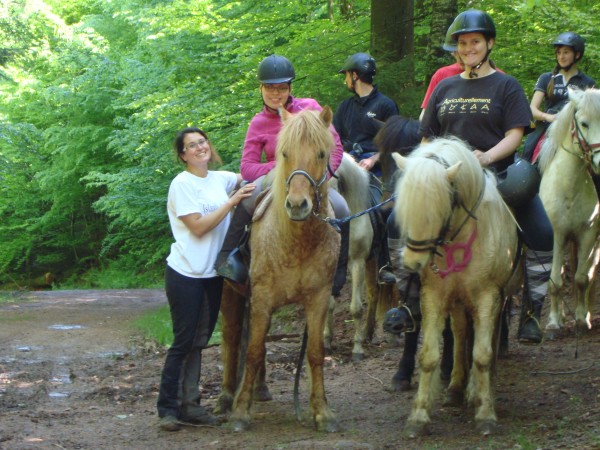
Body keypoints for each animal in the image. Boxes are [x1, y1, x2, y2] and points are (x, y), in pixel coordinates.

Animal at [221, 106, 342, 432]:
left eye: (322, 153)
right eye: (284, 152)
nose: (298, 205)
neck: (295, 242)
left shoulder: (319, 299)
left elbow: (315, 353)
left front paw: (322, 412)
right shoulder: (261, 297)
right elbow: (252, 351)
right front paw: (239, 413)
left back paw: (259, 390)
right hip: (233, 296)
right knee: (233, 338)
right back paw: (227, 396)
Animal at [394, 137, 520, 436]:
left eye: (437, 210)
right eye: (404, 210)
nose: (412, 263)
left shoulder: (487, 296)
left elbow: (483, 355)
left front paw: (485, 414)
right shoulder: (435, 296)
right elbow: (429, 356)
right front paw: (419, 417)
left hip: (495, 300)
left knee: (488, 341)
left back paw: (480, 388)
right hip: (459, 301)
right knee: (461, 334)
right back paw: (456, 388)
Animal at [536, 86, 600, 336]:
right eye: (584, 123)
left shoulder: (588, 235)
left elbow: (582, 278)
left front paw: (582, 320)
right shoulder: (556, 236)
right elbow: (555, 280)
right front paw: (554, 322)